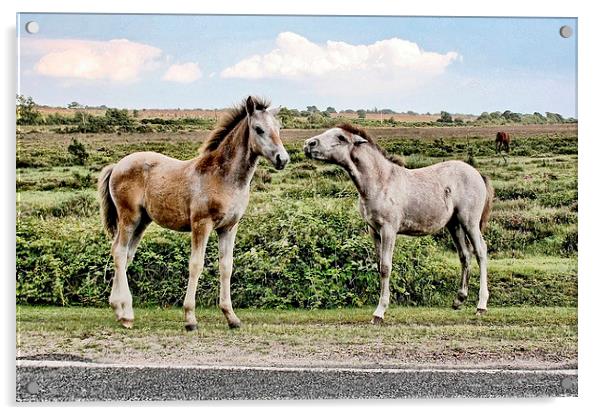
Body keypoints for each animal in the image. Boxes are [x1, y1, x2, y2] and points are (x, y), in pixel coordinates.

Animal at [96, 97, 288, 332]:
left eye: (278, 128)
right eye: (259, 129)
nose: (282, 159)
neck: (223, 177)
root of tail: (117, 166)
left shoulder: (229, 228)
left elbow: (226, 267)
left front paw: (231, 317)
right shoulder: (201, 224)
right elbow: (196, 264)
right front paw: (190, 318)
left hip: (142, 221)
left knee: (125, 254)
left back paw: (119, 310)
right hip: (129, 217)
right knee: (119, 252)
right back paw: (127, 315)